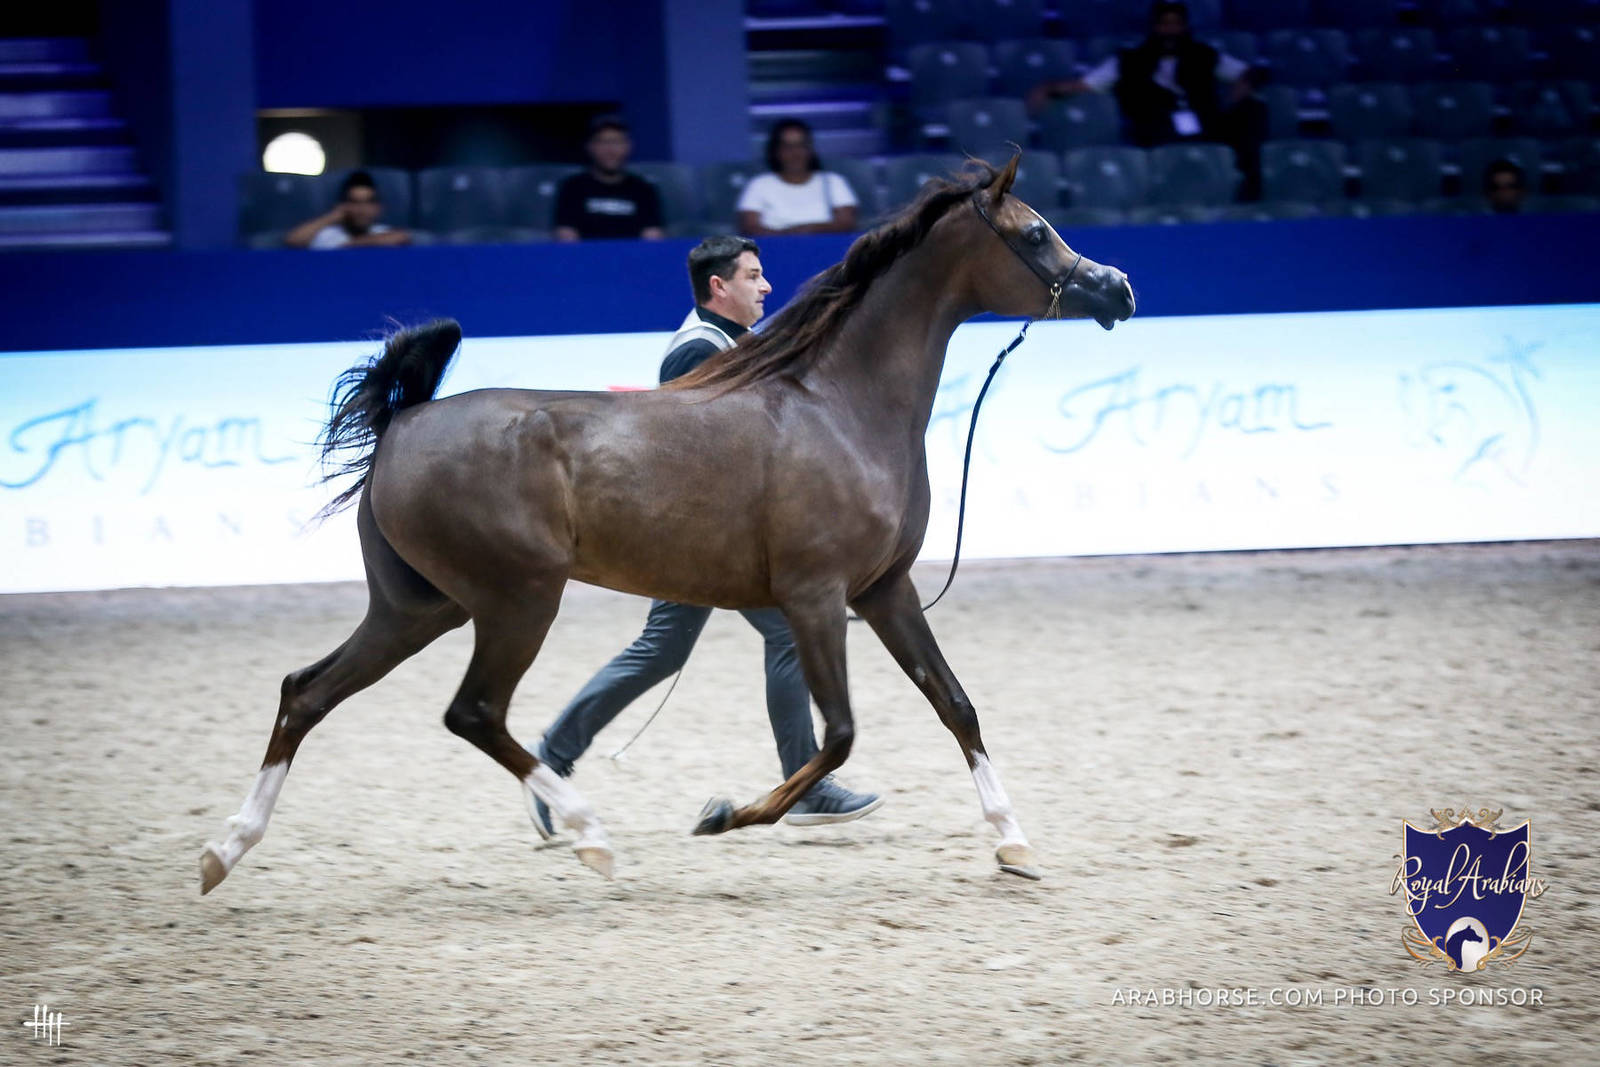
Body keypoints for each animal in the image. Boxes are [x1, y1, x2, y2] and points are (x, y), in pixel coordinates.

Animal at [199, 154, 1135, 893]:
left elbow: (956, 704)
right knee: (473, 712)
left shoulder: (885, 590)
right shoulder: (818, 596)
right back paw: (589, 836)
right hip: (514, 600)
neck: (839, 405)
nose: (1118, 288)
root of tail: (406, 420)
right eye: (1037, 232)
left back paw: (223, 852)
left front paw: (1015, 845)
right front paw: (726, 814)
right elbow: (837, 733)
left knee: (307, 690)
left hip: (418, 606)